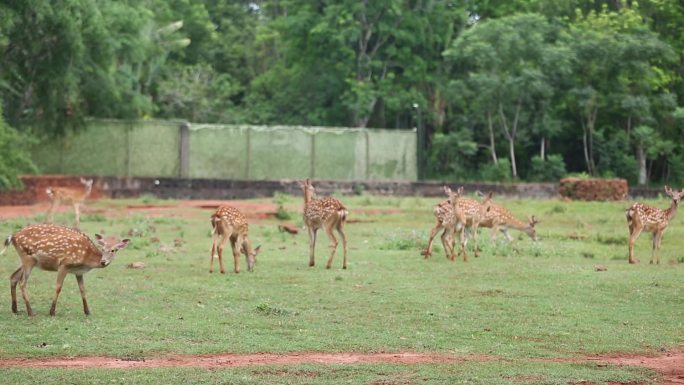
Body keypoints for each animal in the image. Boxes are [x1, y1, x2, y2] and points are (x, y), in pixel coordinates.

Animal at [0, 222, 130, 316]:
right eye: (103, 249)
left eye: (114, 250)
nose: (103, 261)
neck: (86, 259)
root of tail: (13, 236)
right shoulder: (64, 264)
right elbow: (58, 287)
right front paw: (52, 312)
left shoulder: (78, 272)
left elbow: (82, 289)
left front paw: (87, 311)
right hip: (28, 259)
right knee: (22, 282)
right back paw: (30, 312)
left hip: (27, 261)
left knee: (13, 277)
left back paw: (15, 309)